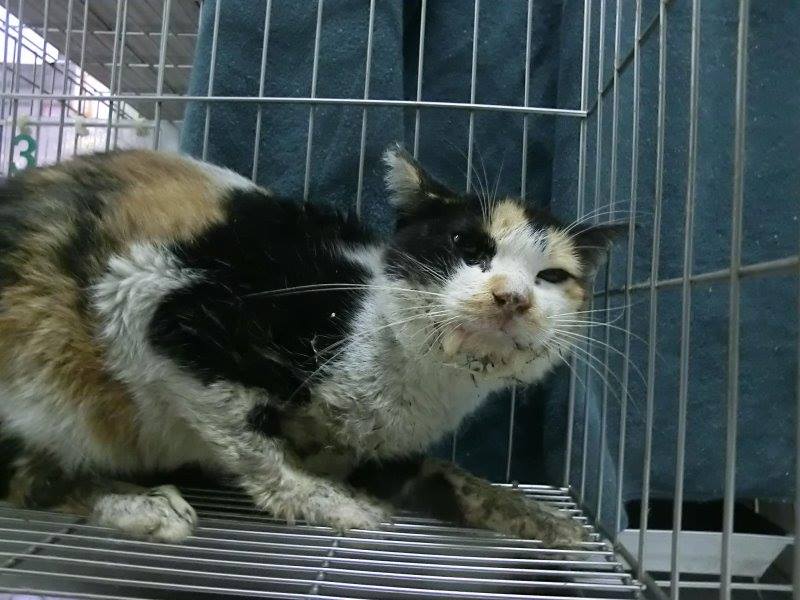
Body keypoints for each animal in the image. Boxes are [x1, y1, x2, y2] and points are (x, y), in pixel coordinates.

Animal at [0, 146, 619, 546]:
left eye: (552, 277)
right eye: (468, 246)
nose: (512, 297)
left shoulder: (380, 455)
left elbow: (455, 479)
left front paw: (545, 519)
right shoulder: (150, 297)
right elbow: (250, 441)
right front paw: (329, 501)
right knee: (26, 479)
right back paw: (143, 506)